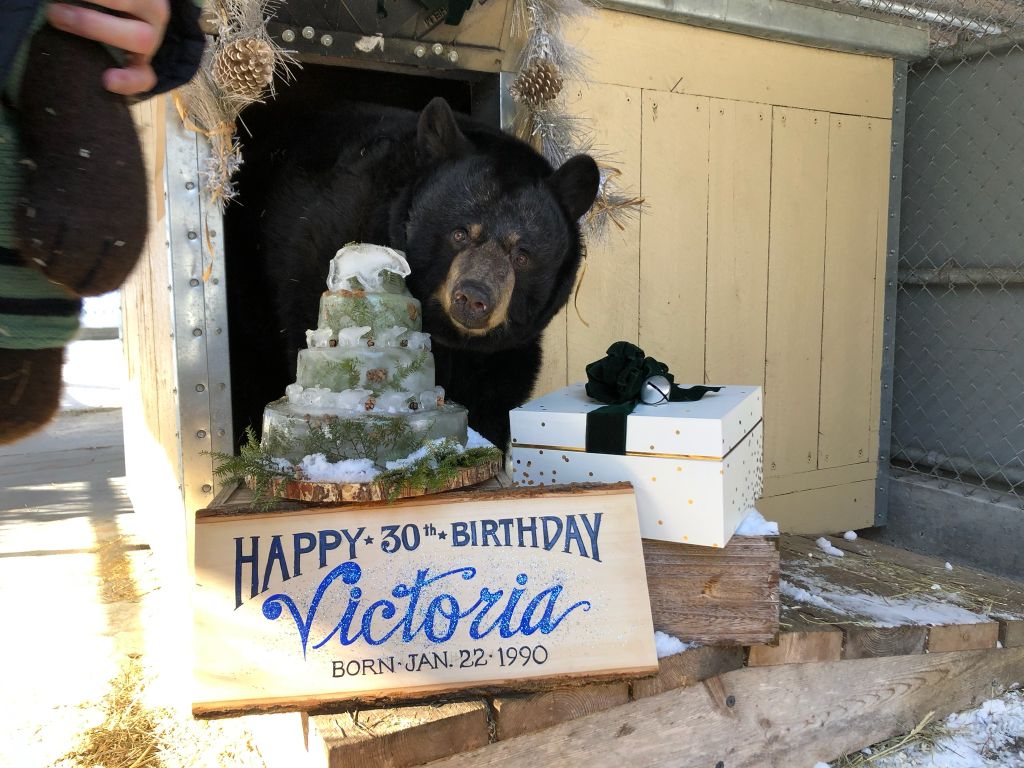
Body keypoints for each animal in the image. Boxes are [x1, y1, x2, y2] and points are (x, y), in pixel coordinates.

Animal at [230, 96, 598, 448]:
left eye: (522, 255)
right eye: (459, 233)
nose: (473, 297)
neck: (453, 338)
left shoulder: (506, 350)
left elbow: (498, 394)